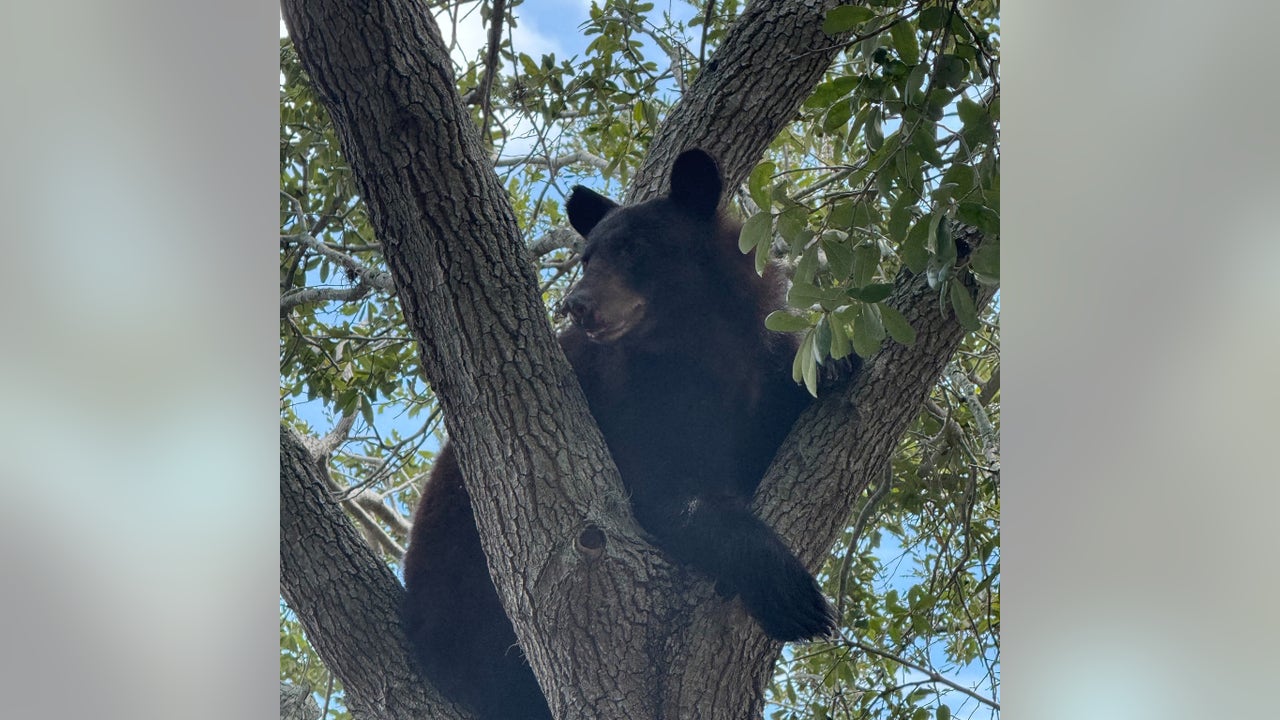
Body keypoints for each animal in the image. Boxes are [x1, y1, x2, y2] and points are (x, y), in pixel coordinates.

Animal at [402, 148, 846, 720]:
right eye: (587, 258)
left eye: (633, 248)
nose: (576, 304)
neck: (699, 344)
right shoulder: (628, 402)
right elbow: (663, 494)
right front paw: (792, 594)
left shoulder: (755, 369)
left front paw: (835, 363)